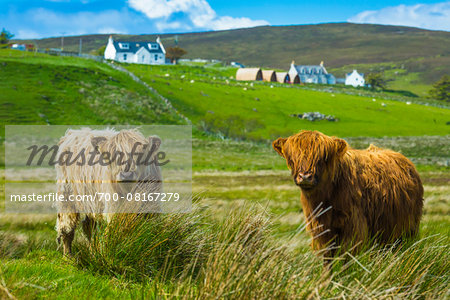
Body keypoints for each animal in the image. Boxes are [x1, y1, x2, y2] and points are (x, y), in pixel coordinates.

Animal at [272, 131, 424, 260]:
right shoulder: (320, 231)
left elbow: (347, 258)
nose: (305, 177)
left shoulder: (353, 228)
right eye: (291, 158)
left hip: (408, 228)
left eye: (323, 158)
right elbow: (327, 259)